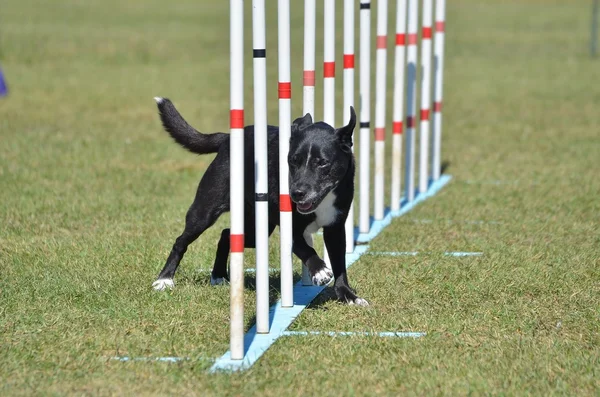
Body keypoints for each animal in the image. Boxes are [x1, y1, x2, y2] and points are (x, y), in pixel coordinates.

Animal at [152, 97, 368, 304]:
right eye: (292, 160)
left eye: (322, 163)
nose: (296, 193)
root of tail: (227, 138)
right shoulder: (289, 227)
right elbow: (306, 249)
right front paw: (320, 271)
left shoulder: (335, 229)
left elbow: (340, 265)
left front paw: (348, 296)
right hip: (204, 211)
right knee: (181, 241)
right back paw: (164, 279)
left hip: (259, 227)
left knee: (226, 234)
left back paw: (219, 276)